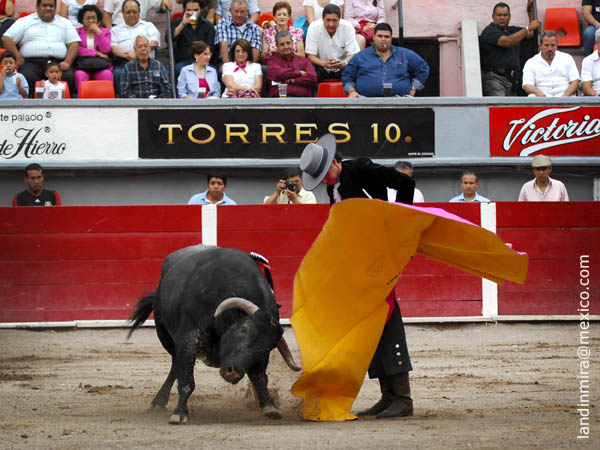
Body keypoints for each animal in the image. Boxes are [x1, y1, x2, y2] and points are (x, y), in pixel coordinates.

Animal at [129, 244, 302, 424]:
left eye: (268, 347)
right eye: (243, 329)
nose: (233, 372)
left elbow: (259, 377)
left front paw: (269, 406)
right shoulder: (189, 338)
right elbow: (187, 381)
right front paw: (179, 414)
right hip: (164, 334)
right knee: (176, 364)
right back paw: (159, 401)